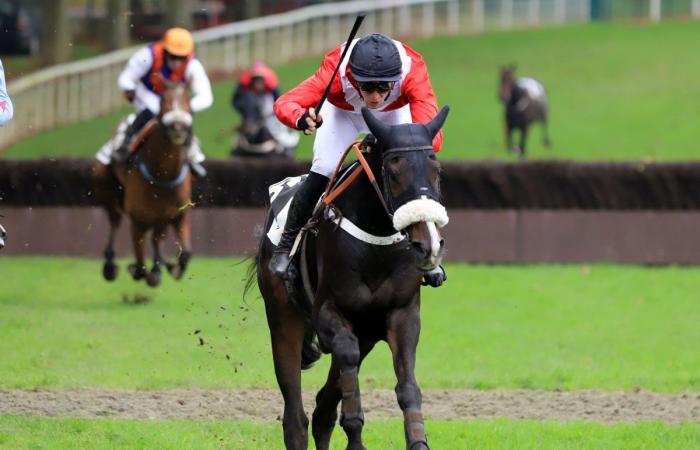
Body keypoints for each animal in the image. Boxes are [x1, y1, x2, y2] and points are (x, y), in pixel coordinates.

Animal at [93, 79, 194, 286]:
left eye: (188, 99)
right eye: (163, 100)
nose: (178, 127)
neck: (163, 174)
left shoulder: (177, 213)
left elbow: (185, 253)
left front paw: (168, 268)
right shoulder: (138, 218)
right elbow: (140, 261)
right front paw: (142, 270)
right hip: (105, 188)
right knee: (115, 220)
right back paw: (110, 265)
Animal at [254, 106, 452, 450]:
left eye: (435, 170)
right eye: (393, 171)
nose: (428, 245)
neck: (376, 243)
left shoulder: (401, 314)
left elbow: (407, 386)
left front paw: (418, 439)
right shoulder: (328, 312)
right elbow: (347, 357)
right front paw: (355, 431)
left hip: (367, 332)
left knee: (322, 409)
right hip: (283, 318)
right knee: (296, 418)